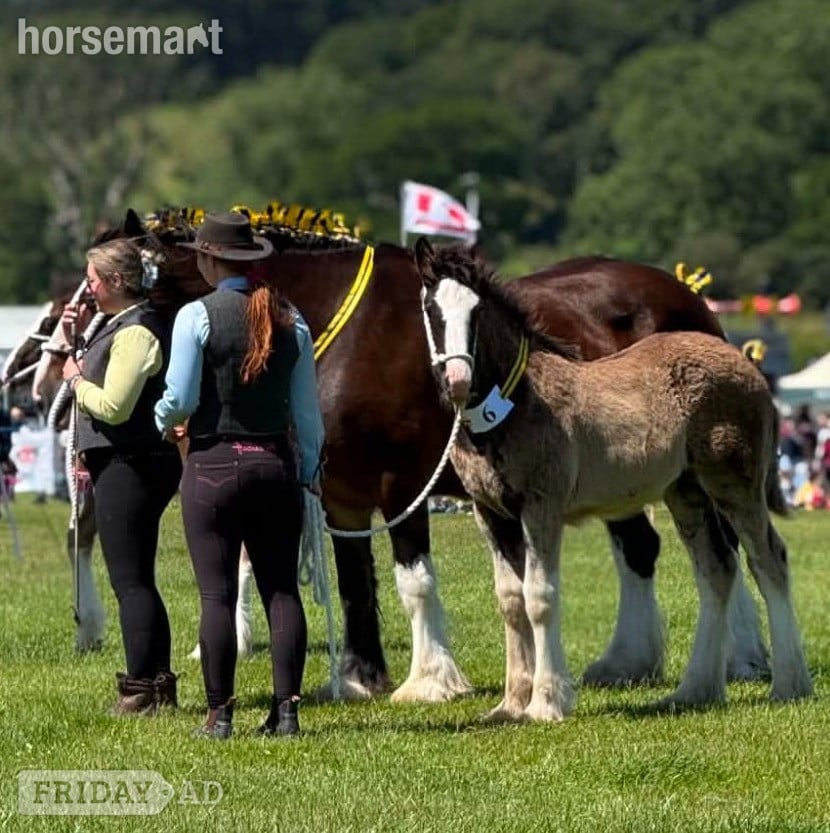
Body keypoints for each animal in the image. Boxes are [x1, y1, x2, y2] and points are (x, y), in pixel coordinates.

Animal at [416, 237, 811, 721]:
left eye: (477, 310)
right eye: (431, 307)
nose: (456, 380)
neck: (514, 404)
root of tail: (746, 363)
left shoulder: (541, 506)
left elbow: (539, 597)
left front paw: (546, 702)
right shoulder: (491, 513)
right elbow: (510, 601)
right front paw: (510, 704)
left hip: (735, 484)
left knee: (768, 559)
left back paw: (789, 683)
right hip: (687, 493)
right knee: (716, 569)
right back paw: (694, 691)